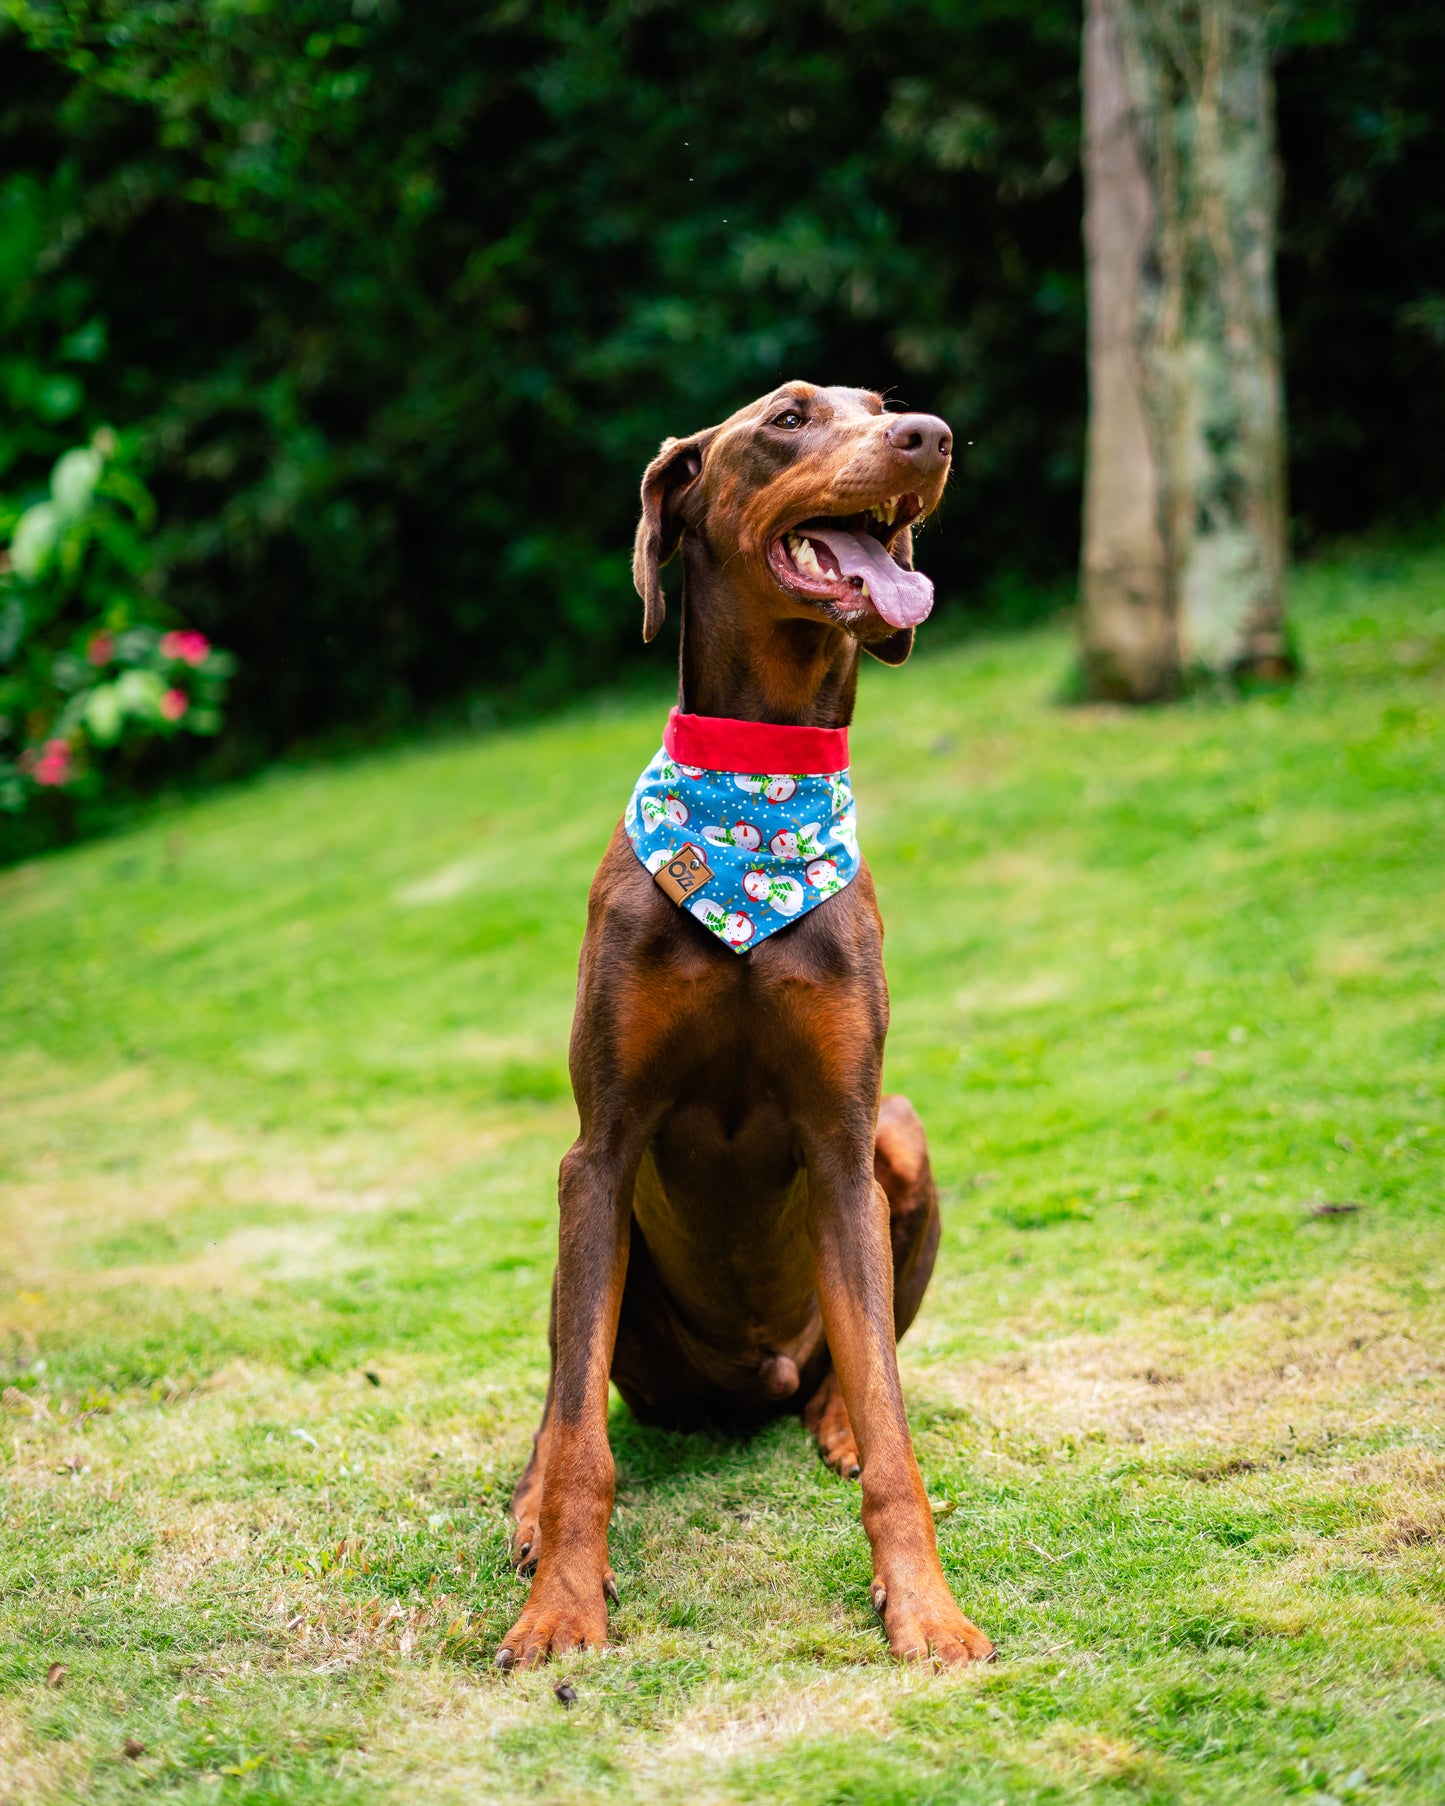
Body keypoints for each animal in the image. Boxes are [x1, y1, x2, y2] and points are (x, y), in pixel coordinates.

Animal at [498, 388, 997, 1668]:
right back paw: (524, 1506)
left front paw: (924, 1608)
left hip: (898, 1141)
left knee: (849, 1372)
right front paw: (560, 1605)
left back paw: (831, 1421)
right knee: (567, 1392)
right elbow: (579, 1437)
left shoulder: (840, 1136)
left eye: (880, 407)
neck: (755, 802)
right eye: (787, 419)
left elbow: (893, 1419)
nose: (931, 434)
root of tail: (748, 1386)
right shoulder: (598, 1149)